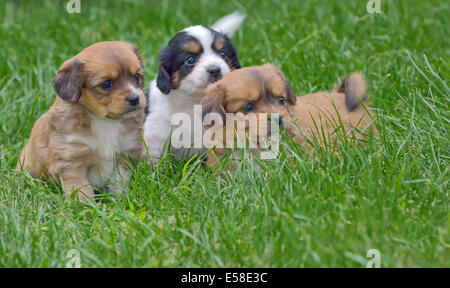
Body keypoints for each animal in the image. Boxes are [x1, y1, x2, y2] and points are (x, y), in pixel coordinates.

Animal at [16, 41, 147, 202]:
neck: (105, 121)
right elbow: (82, 190)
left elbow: (118, 182)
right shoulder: (72, 161)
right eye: (106, 84)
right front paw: (87, 206)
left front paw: (119, 200)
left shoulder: (125, 152)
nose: (135, 98)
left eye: (137, 76)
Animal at [143, 11, 246, 164]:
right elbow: (157, 160)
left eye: (223, 54)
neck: (195, 101)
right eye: (190, 60)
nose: (215, 70)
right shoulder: (157, 133)